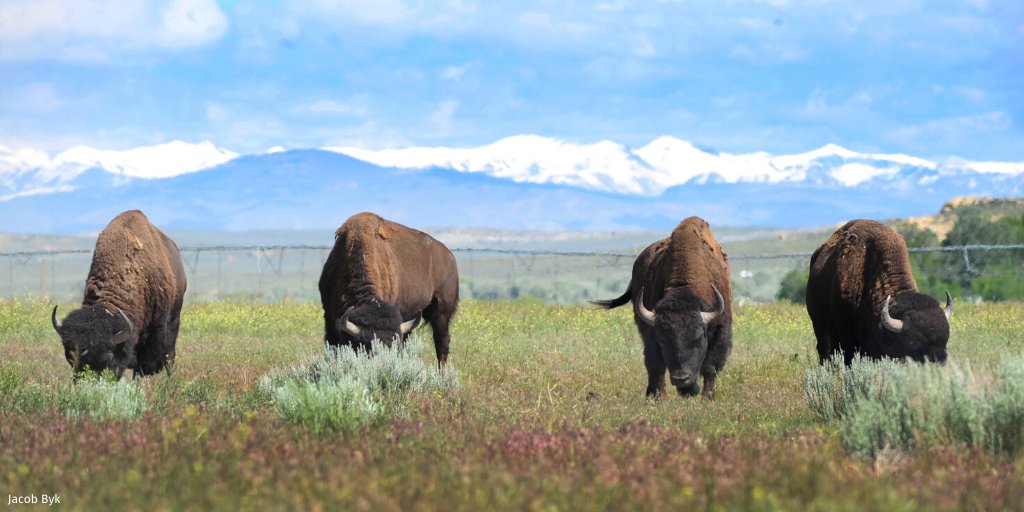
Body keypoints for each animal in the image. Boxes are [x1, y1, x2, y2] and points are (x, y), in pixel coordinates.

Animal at [593, 216, 732, 399]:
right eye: (664, 340)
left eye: (698, 339)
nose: (681, 379)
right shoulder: (652, 331)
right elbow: (656, 364)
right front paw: (659, 398)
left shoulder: (720, 329)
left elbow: (711, 366)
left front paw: (707, 398)